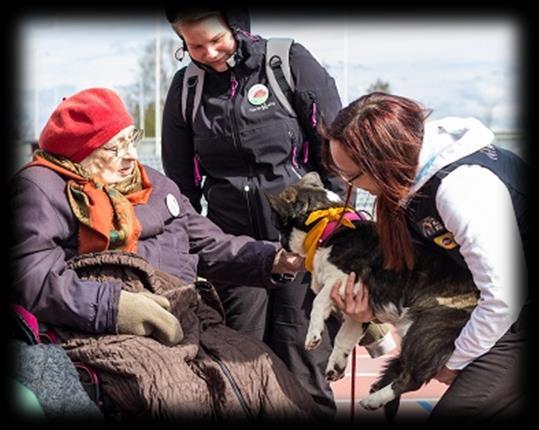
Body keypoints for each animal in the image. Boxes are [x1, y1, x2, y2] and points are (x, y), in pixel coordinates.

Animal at [268, 171, 478, 414]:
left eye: (280, 226)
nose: (279, 246)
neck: (327, 225)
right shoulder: (356, 313)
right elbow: (343, 339)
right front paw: (335, 366)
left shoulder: (343, 280)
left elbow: (318, 302)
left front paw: (313, 335)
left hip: (424, 330)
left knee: (412, 379)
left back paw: (375, 399)